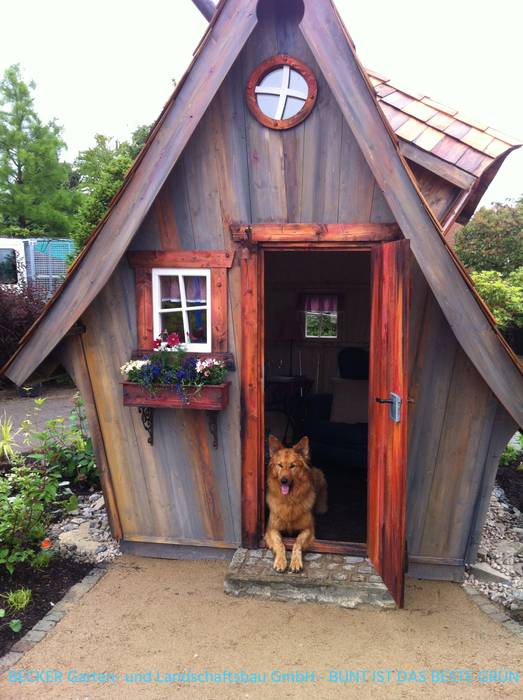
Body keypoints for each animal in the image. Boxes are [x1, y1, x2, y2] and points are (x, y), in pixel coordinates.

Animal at [266, 438, 328, 576]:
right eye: (280, 465)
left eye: (292, 466)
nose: (283, 480)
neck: (289, 500)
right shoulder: (271, 529)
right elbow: (279, 543)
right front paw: (280, 562)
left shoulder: (308, 529)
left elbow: (297, 543)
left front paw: (295, 563)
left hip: (319, 476)